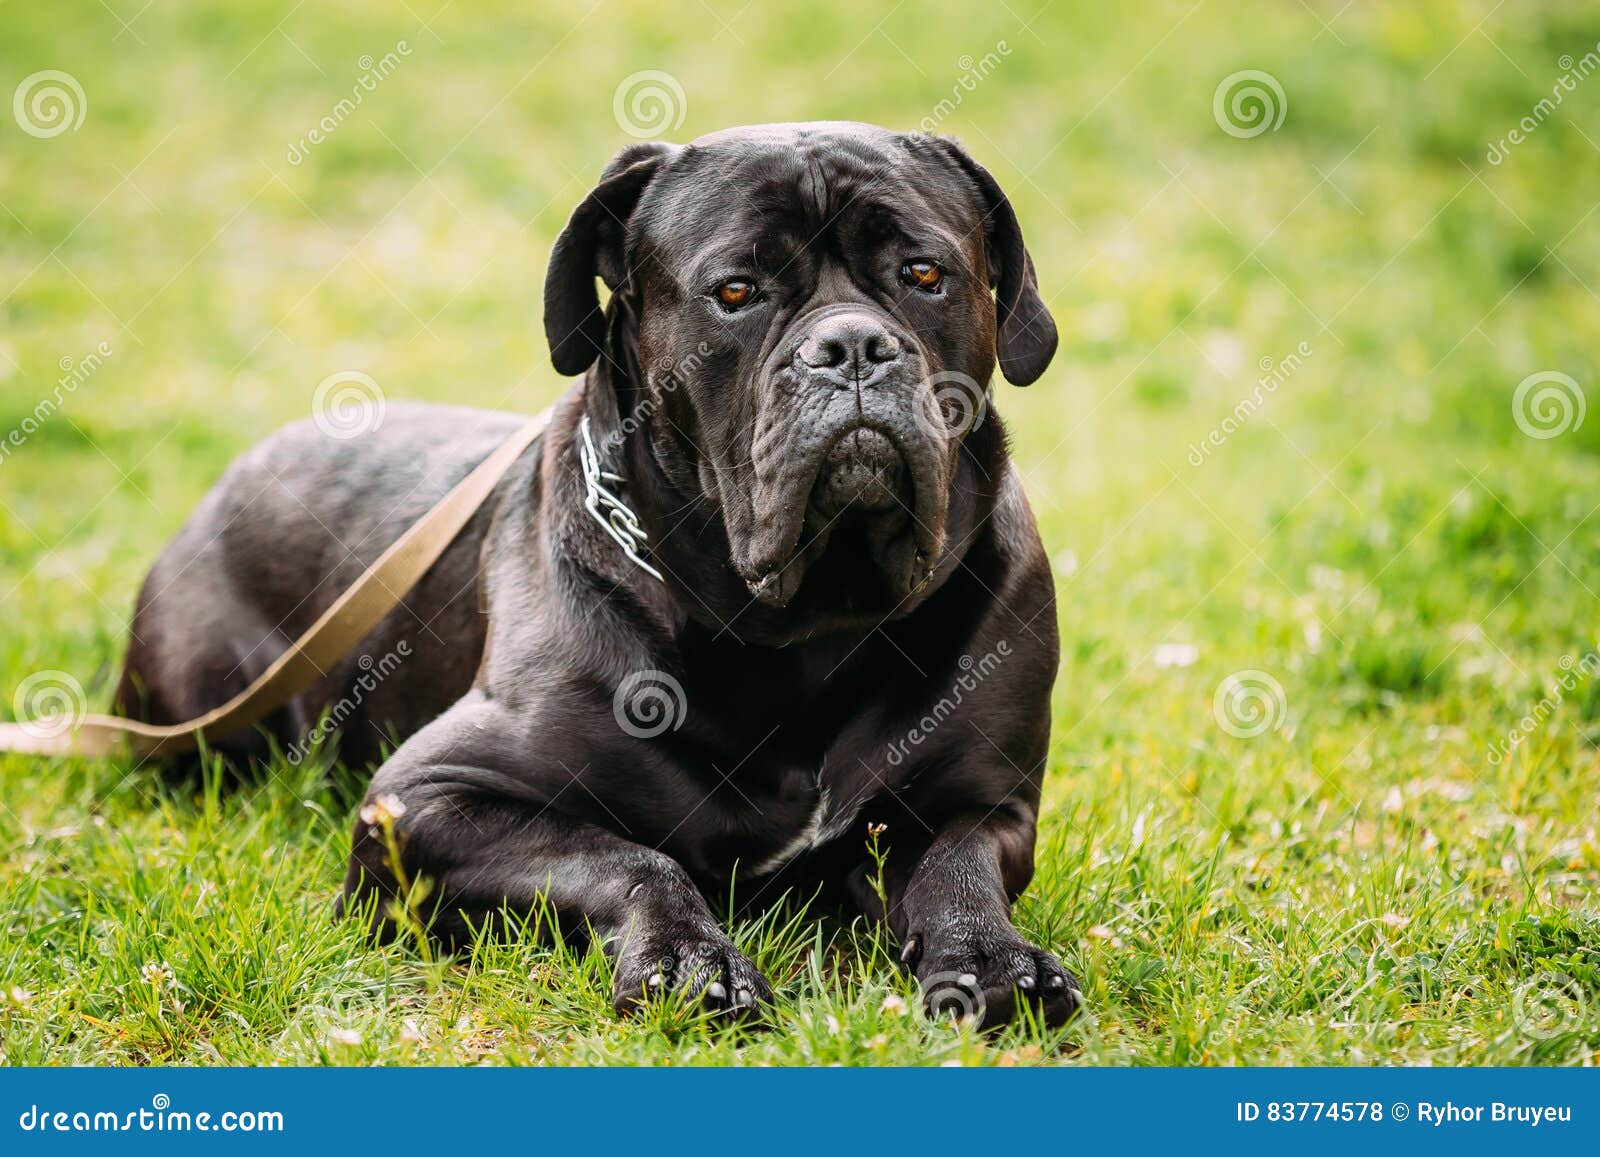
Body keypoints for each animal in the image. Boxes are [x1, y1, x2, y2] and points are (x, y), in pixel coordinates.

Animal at [118, 122, 1081, 1030]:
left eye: (923, 273)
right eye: (736, 292)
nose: (851, 345)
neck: (803, 624)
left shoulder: (984, 800)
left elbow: (958, 863)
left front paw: (993, 957)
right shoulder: (421, 800)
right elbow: (629, 856)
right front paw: (691, 959)